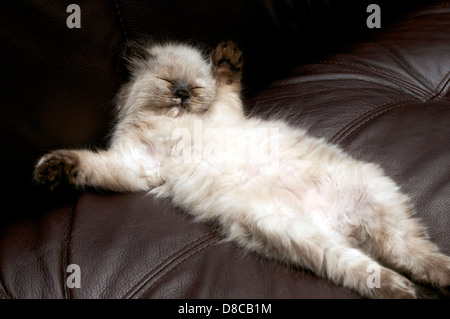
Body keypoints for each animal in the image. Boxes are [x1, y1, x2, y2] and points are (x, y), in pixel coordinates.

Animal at [32, 41, 450, 298]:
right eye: (169, 84)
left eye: (193, 87)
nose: (182, 95)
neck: (169, 120)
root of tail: (339, 224)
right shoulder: (136, 164)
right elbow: (87, 163)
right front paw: (50, 171)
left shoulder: (222, 112)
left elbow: (227, 83)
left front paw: (227, 57)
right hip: (301, 234)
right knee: (380, 265)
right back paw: (409, 289)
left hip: (373, 200)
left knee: (415, 256)